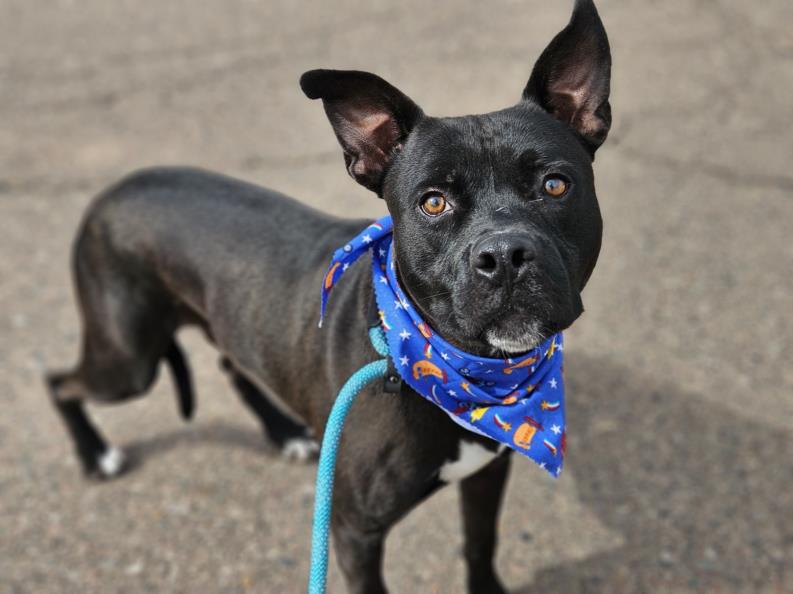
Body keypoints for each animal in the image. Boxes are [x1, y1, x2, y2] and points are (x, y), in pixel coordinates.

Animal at [46, 2, 608, 588]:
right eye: (433, 202)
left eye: (555, 185)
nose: (504, 255)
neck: (456, 371)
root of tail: (109, 194)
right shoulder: (355, 533)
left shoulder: (487, 472)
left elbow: (480, 543)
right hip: (129, 361)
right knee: (60, 383)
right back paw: (94, 455)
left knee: (231, 366)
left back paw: (283, 433)